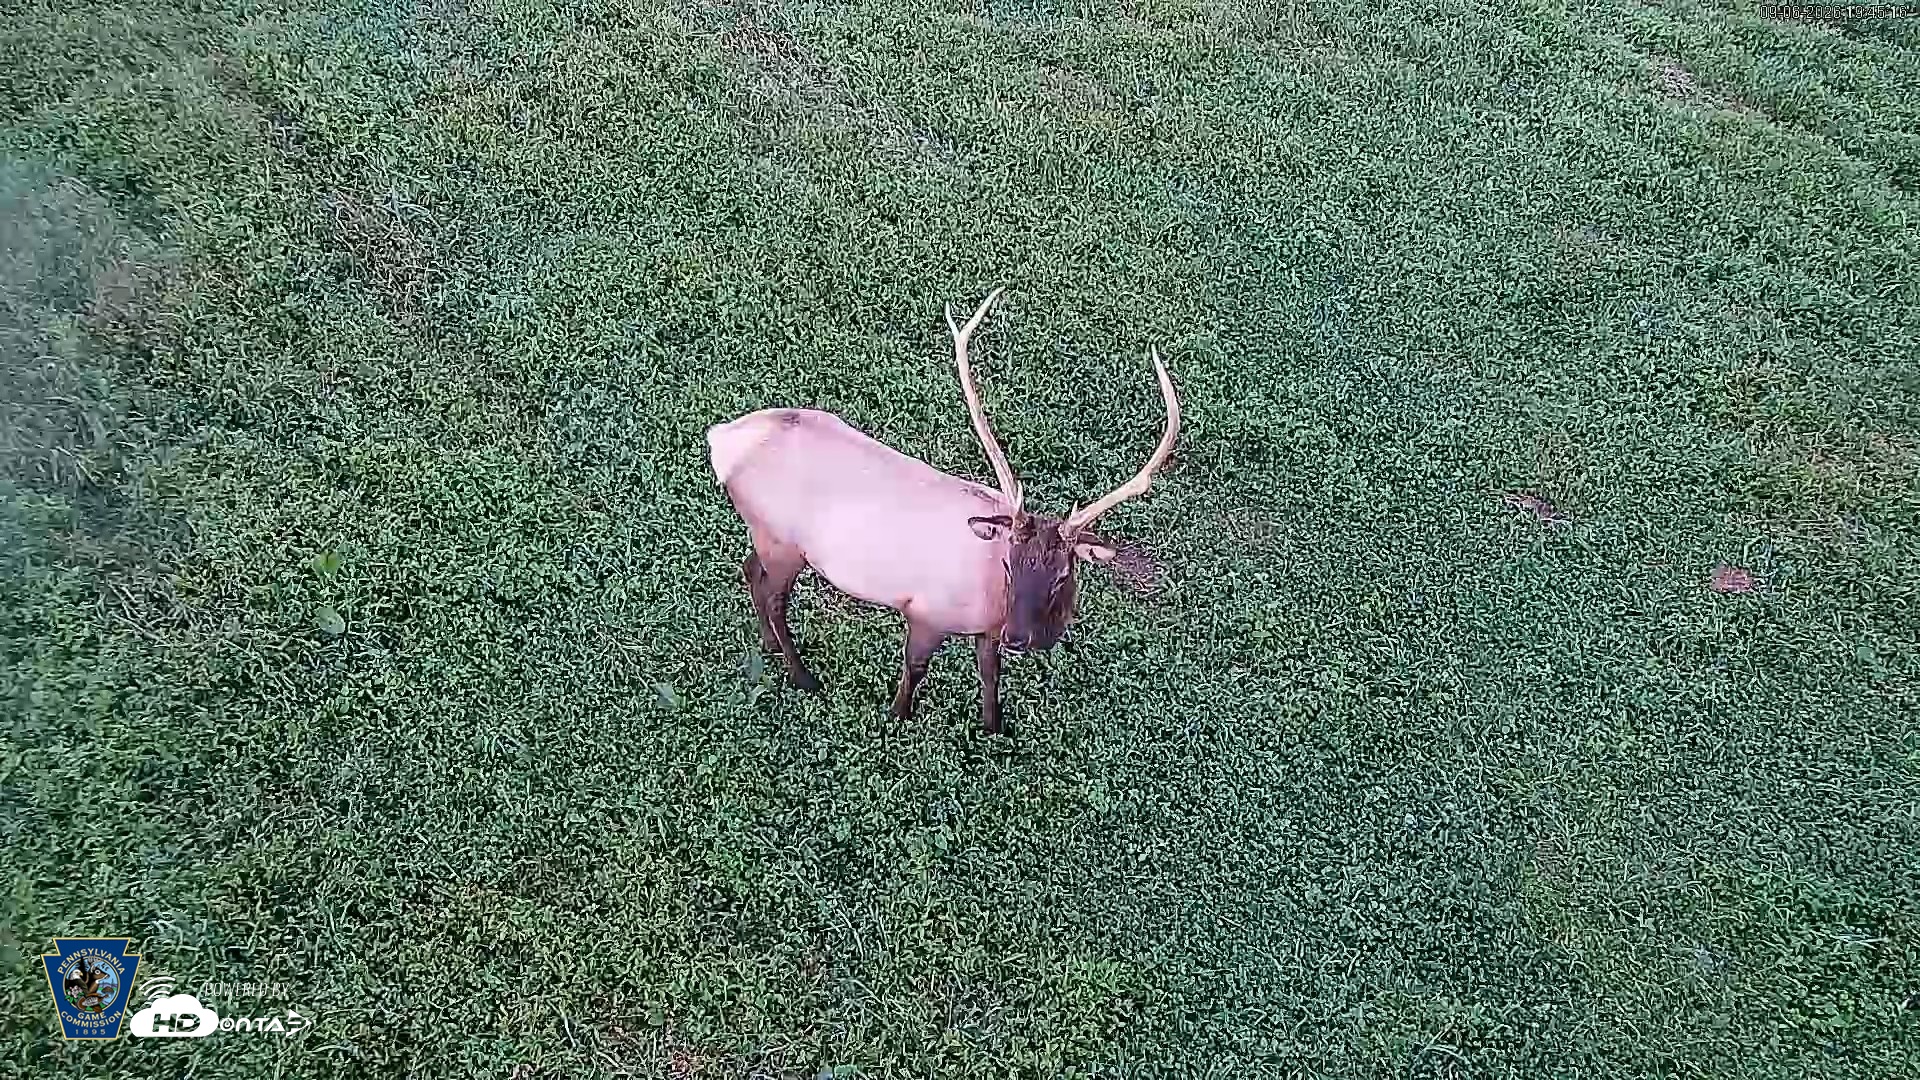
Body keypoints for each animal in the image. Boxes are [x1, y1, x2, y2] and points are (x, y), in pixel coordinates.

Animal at [705, 287, 1179, 734]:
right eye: (1009, 564)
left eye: (1063, 573)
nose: (1020, 638)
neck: (991, 601)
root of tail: (722, 440)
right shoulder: (925, 612)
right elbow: (915, 669)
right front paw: (897, 716)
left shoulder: (987, 633)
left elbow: (990, 676)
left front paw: (993, 730)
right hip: (783, 542)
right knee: (774, 599)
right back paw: (803, 676)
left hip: (764, 534)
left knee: (749, 570)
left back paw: (768, 645)